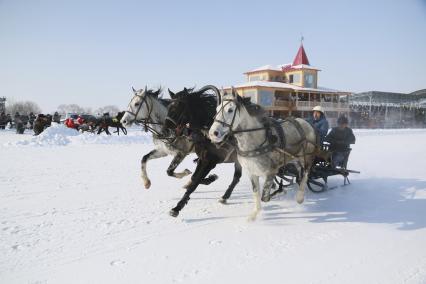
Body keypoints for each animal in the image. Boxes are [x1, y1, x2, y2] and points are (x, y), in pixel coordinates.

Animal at [163, 86, 241, 217]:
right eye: (169, 106)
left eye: (179, 105)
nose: (165, 130)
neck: (207, 133)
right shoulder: (202, 159)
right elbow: (195, 178)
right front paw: (211, 178)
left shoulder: (210, 162)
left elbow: (195, 182)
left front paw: (177, 207)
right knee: (237, 177)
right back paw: (224, 196)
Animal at [208, 90, 318, 221]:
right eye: (217, 109)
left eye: (230, 110)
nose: (213, 133)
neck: (256, 140)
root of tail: (306, 122)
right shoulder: (251, 172)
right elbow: (256, 193)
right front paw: (254, 215)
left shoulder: (272, 171)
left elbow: (265, 197)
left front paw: (279, 192)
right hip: (294, 159)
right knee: (300, 174)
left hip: (307, 158)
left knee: (306, 173)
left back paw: (300, 197)